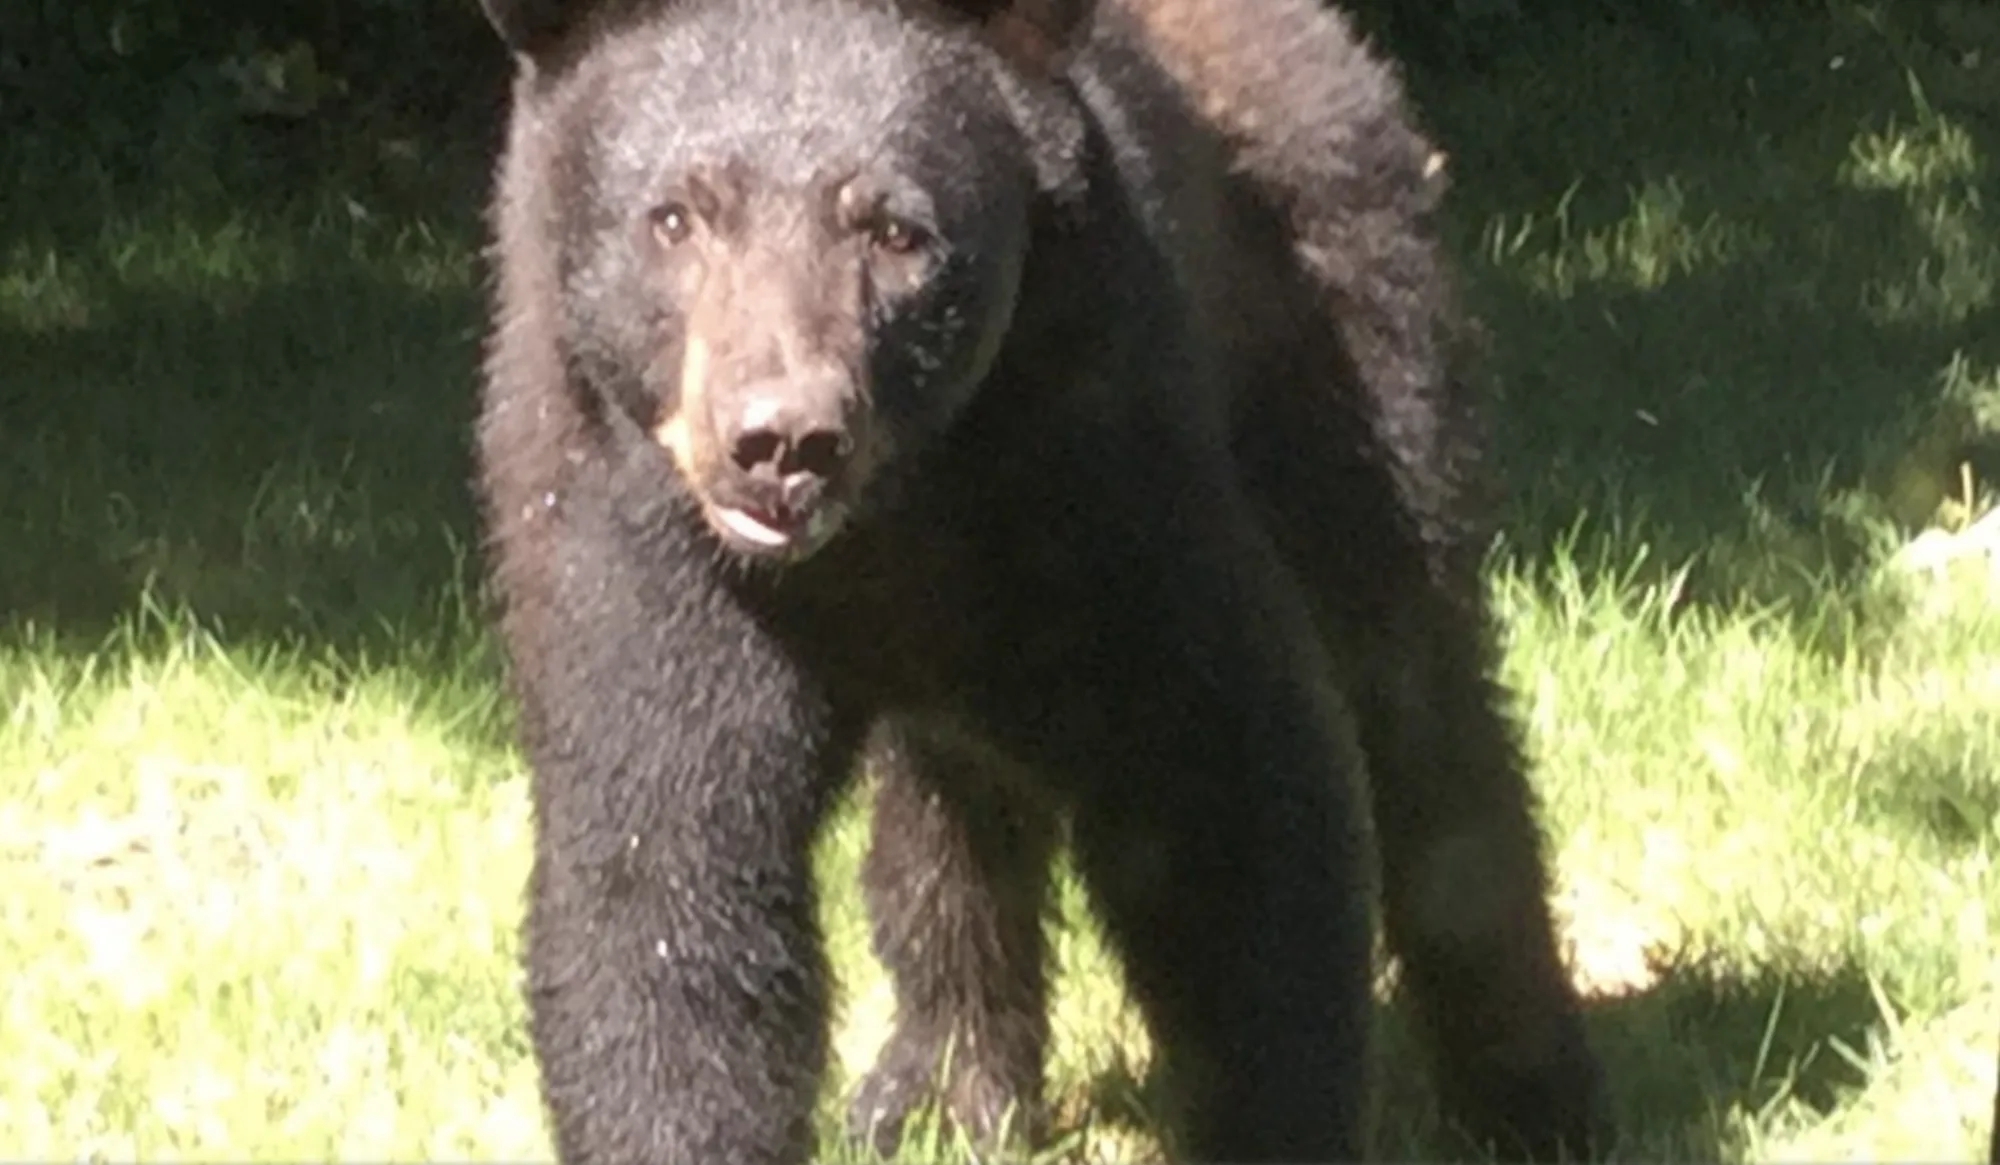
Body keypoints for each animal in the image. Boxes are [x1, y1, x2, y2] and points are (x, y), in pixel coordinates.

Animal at [470, 0, 1610, 1161]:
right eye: (675, 216)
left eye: (896, 230)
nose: (783, 442)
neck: (892, 523)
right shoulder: (633, 537)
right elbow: (663, 874)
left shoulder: (1099, 474)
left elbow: (1228, 802)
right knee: (946, 801)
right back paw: (938, 1085)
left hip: (1334, 331)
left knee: (1421, 700)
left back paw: (1531, 1094)